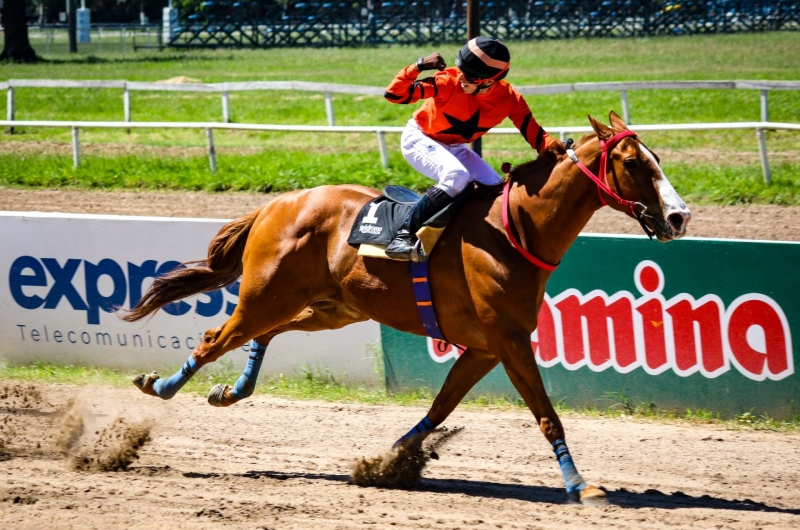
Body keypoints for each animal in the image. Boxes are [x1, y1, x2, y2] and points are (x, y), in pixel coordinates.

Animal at [122, 112, 692, 504]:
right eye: (635, 163)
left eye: (658, 159)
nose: (680, 217)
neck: (515, 231)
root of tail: (276, 204)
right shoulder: (508, 342)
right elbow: (548, 417)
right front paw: (579, 484)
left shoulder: (485, 348)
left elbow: (441, 407)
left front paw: (389, 462)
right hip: (266, 297)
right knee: (214, 340)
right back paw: (159, 389)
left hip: (331, 307)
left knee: (264, 334)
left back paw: (231, 390)